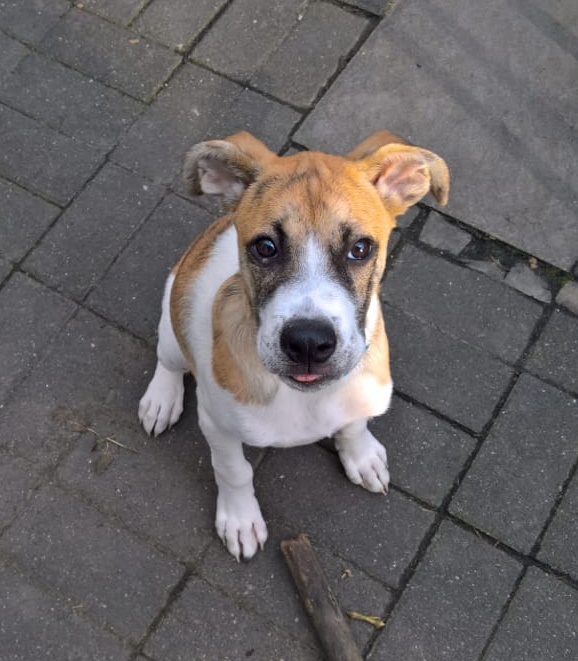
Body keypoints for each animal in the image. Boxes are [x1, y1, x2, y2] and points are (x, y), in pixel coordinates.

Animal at [138, 130, 449, 561]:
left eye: (360, 249)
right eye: (265, 247)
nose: (308, 343)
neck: (305, 399)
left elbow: (354, 424)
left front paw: (362, 456)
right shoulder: (216, 422)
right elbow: (233, 470)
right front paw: (240, 520)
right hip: (173, 317)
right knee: (168, 361)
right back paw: (161, 400)